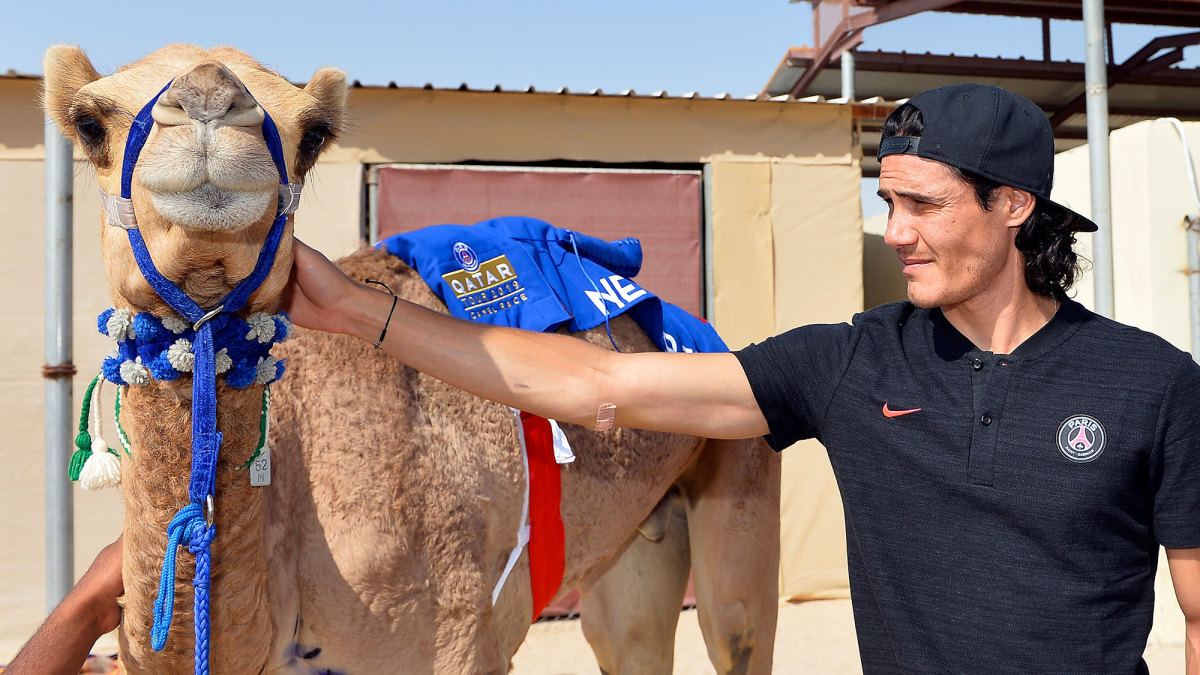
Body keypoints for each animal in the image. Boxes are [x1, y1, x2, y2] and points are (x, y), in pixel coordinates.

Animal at [44, 44, 777, 667]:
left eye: (313, 133)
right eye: (89, 122)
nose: (208, 103)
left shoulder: (453, 631)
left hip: (740, 465)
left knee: (735, 625)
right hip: (635, 537)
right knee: (631, 634)